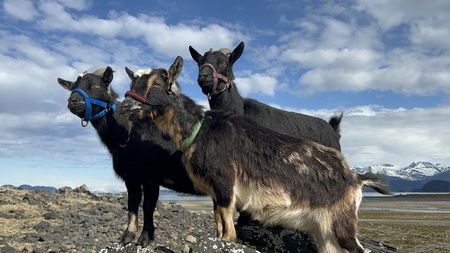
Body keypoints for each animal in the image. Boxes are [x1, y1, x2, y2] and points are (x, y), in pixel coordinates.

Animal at [56, 67, 200, 247]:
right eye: (74, 86)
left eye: (96, 85)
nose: (73, 101)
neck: (129, 134)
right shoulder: (131, 178)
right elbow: (132, 204)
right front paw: (127, 236)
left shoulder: (151, 177)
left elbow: (147, 206)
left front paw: (145, 238)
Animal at [120, 56, 390, 253]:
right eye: (132, 83)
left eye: (158, 83)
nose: (125, 106)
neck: (199, 129)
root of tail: (355, 178)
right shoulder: (217, 195)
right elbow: (220, 230)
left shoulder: (226, 188)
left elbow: (228, 235)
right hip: (324, 232)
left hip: (340, 224)